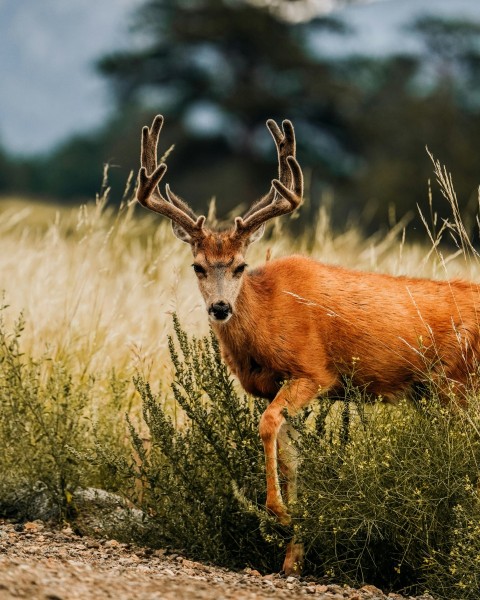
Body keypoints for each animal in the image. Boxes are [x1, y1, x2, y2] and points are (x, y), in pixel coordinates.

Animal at [133, 112, 480, 576]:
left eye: (240, 265)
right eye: (197, 267)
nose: (221, 308)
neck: (266, 317)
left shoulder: (313, 371)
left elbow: (267, 427)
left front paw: (278, 513)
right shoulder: (278, 386)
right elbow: (291, 455)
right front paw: (293, 555)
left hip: (457, 383)